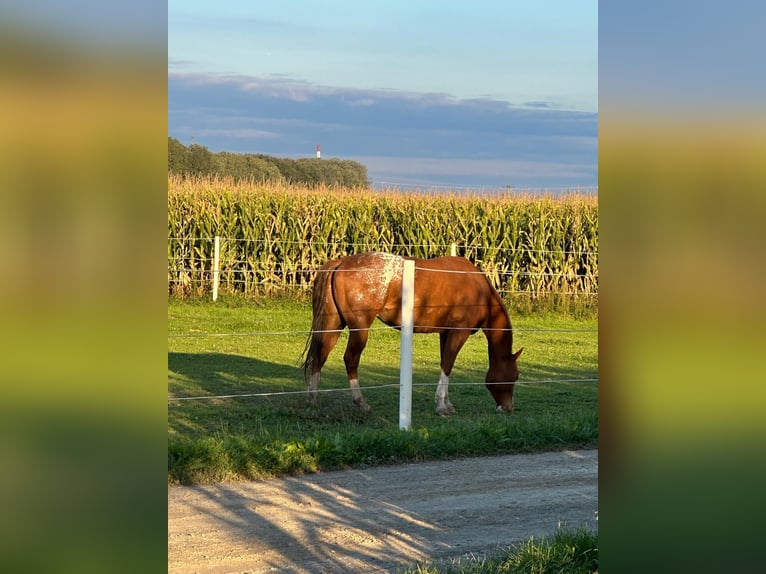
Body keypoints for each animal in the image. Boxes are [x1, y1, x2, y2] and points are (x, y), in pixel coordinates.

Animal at [301, 252, 523, 415]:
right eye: (514, 376)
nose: (508, 407)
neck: (478, 290)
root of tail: (341, 263)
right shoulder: (459, 333)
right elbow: (447, 365)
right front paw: (441, 407)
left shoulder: (446, 333)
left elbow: (445, 365)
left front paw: (447, 403)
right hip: (359, 329)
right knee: (350, 359)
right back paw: (360, 402)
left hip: (334, 324)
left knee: (320, 356)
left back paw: (311, 399)